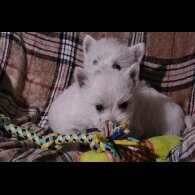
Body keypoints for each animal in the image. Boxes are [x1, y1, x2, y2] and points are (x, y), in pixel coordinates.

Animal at [48, 62, 188, 137]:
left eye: (124, 105)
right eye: (99, 107)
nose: (114, 124)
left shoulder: (135, 125)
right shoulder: (65, 118)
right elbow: (70, 129)